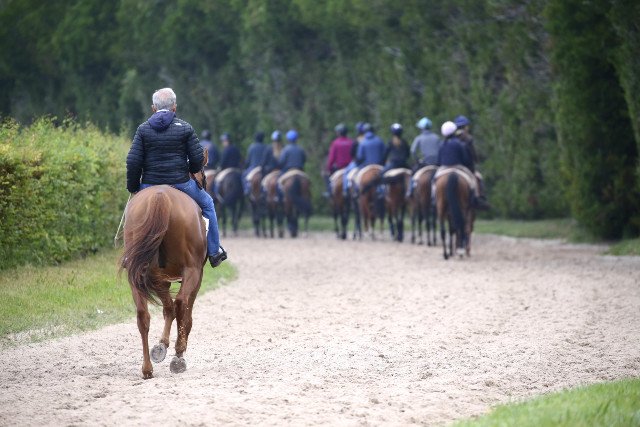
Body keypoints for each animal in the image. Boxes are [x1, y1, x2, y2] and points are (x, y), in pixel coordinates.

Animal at [120, 170, 208, 379]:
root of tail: (160, 197)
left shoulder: (160, 280)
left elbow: (167, 309)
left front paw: (161, 346)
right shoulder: (196, 275)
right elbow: (184, 314)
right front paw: (171, 347)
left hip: (138, 275)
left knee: (143, 315)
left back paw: (147, 369)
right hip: (192, 270)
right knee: (181, 303)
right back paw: (178, 356)